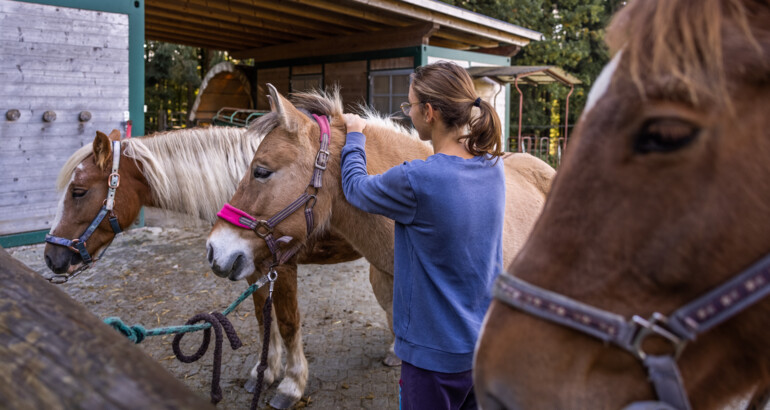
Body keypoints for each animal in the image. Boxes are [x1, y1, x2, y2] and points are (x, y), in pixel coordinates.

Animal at [43, 126, 362, 408]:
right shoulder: (251, 268)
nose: (50, 256)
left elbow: (287, 323)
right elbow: (263, 319)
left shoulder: (281, 268)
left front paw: (291, 386)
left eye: (78, 192)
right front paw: (265, 371)